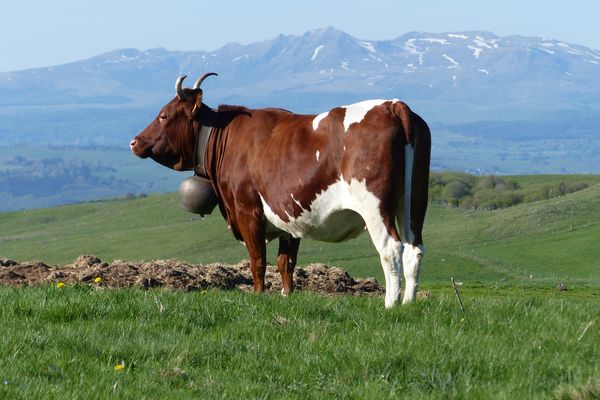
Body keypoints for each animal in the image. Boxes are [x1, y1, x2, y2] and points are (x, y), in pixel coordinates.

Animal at [131, 73, 432, 308]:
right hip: (415, 201)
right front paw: (286, 297)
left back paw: (391, 304)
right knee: (414, 249)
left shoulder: (247, 210)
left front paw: (258, 296)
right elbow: (285, 263)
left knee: (391, 248)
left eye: (163, 115)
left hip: (375, 206)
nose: (134, 142)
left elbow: (258, 260)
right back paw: (408, 303)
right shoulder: (290, 215)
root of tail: (393, 105)